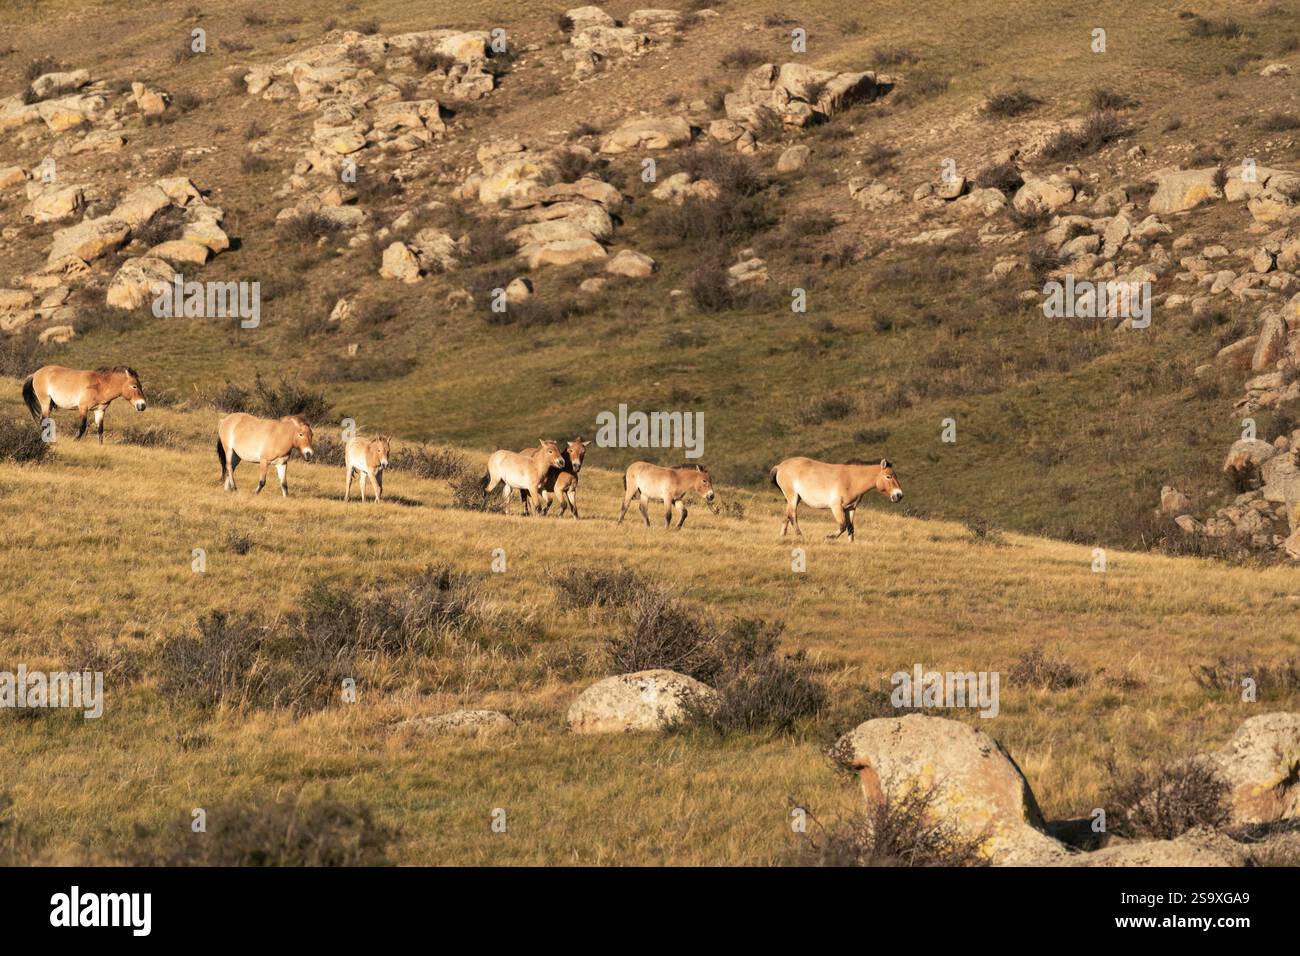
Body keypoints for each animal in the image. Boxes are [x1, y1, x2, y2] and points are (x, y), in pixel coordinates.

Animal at [770, 457, 903, 541]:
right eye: (888, 476)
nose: (899, 495)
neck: (852, 480)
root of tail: (779, 466)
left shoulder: (850, 508)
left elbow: (850, 528)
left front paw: (851, 544)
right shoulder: (836, 507)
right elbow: (843, 525)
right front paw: (829, 537)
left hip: (794, 499)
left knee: (787, 515)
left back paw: (782, 536)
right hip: (793, 497)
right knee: (792, 515)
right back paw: (800, 536)